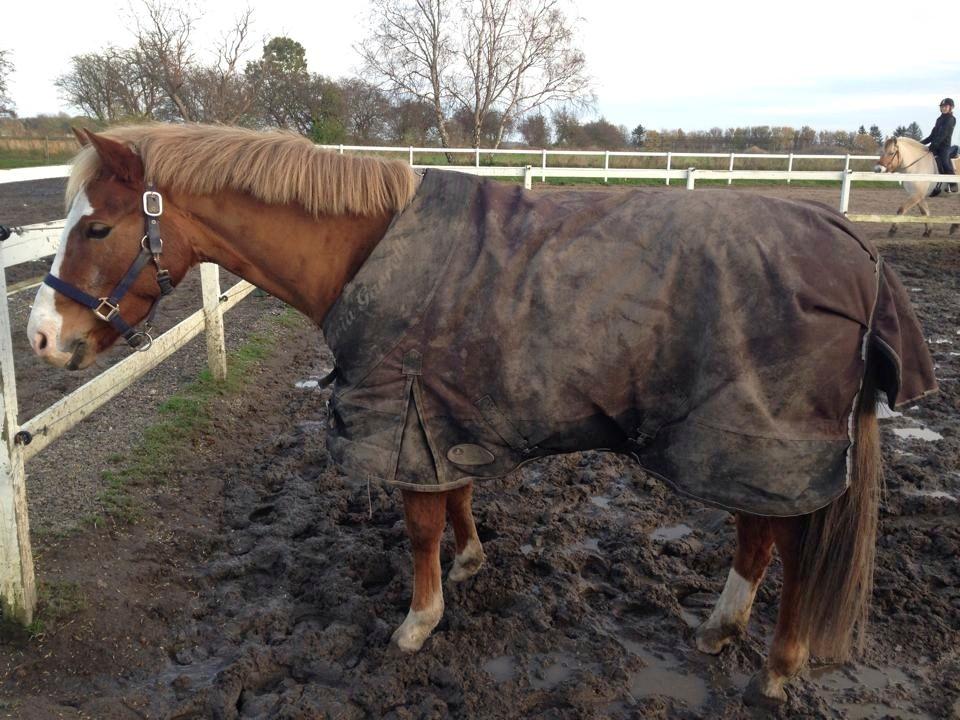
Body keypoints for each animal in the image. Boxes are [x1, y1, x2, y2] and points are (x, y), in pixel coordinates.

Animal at [28, 126, 892, 704]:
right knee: (760, 534)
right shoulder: (445, 416)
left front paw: (419, 621)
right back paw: (721, 630)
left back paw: (778, 668)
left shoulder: (406, 420)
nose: (40, 337)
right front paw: (471, 562)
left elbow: (419, 529)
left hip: (770, 442)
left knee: (790, 543)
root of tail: (852, 245)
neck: (369, 248)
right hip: (748, 449)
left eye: (98, 226)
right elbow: (459, 500)